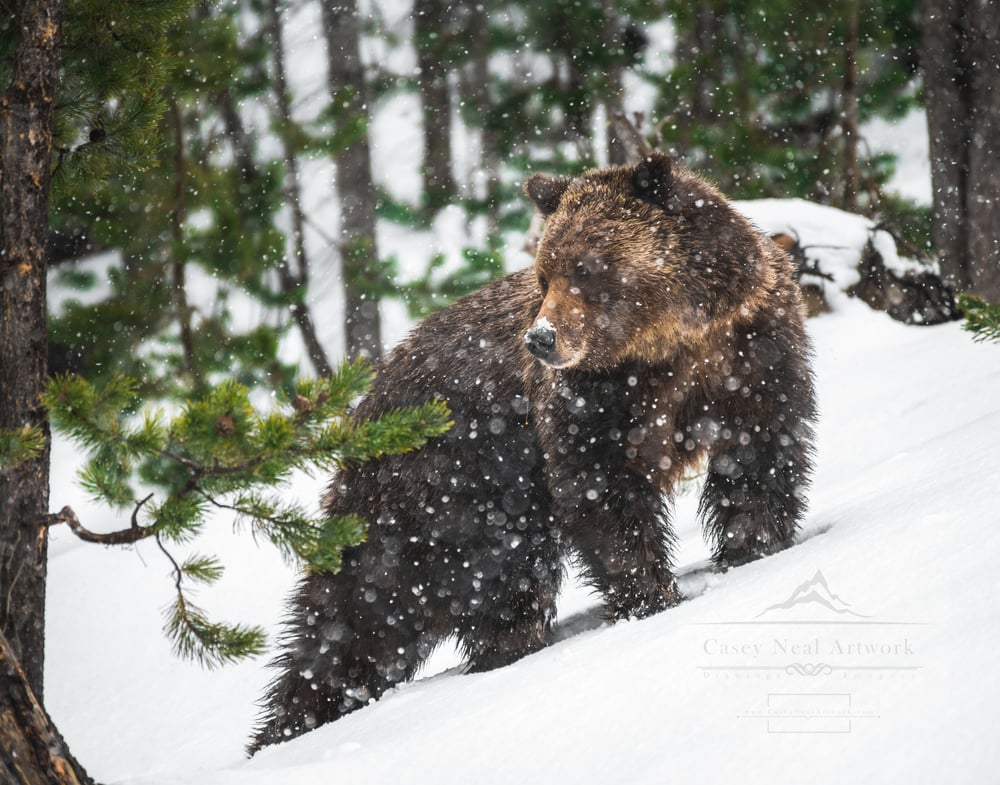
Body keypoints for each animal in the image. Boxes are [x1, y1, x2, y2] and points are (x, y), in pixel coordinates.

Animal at [248, 155, 812, 752]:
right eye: (545, 273)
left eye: (586, 268)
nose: (541, 338)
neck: (666, 346)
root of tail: (364, 416)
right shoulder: (588, 401)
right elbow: (602, 494)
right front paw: (653, 595)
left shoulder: (748, 350)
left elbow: (759, 453)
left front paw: (754, 547)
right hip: (458, 489)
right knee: (399, 598)